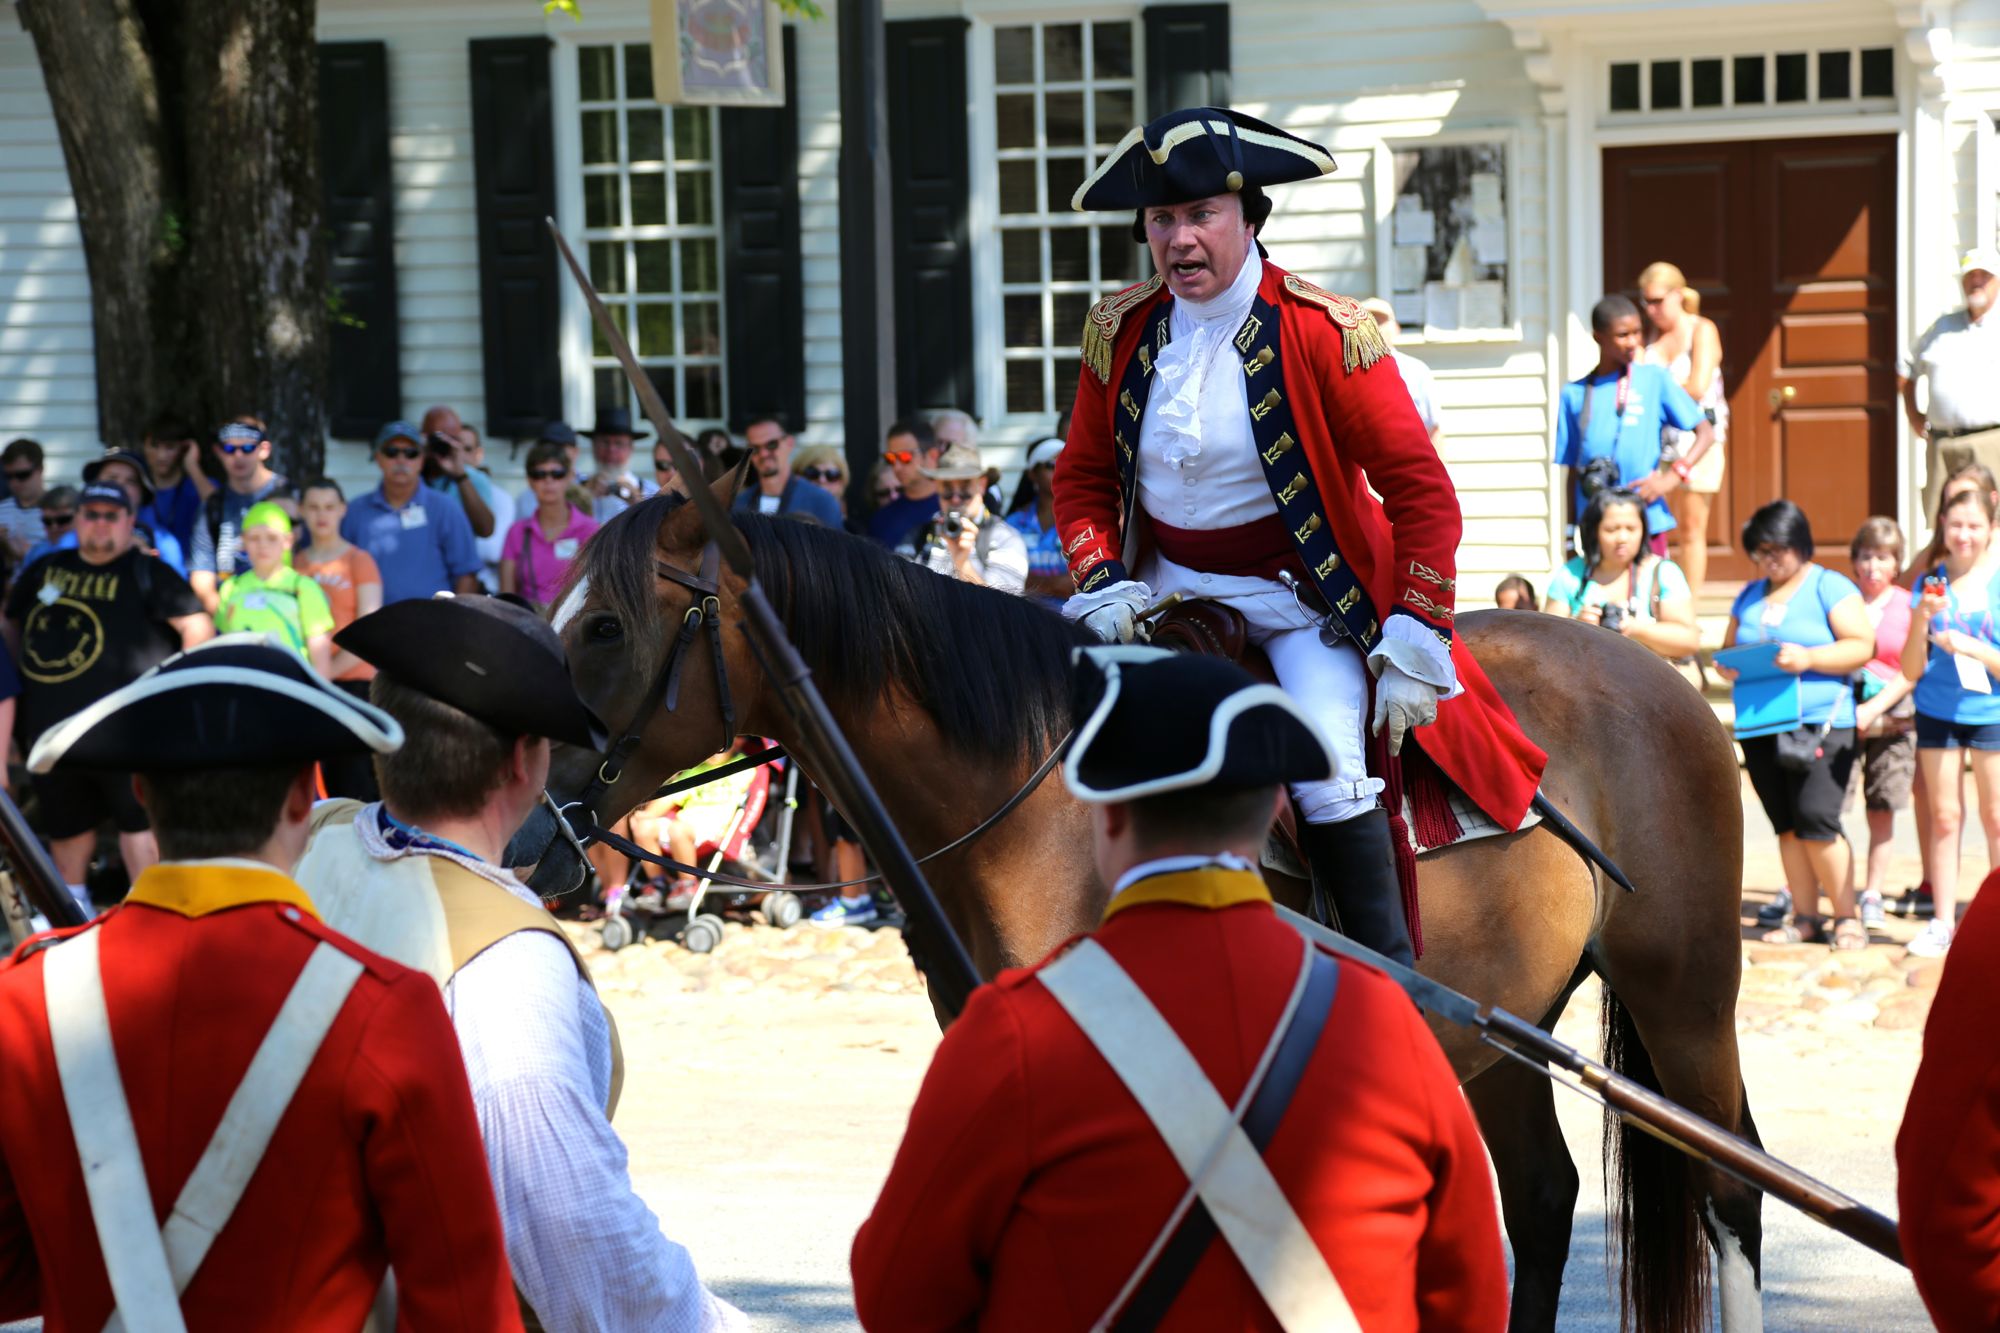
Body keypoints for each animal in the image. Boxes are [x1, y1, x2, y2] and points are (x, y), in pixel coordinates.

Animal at [512, 490, 1768, 1328]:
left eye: (607, 625)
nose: (529, 834)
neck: (1033, 782)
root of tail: (1668, 681)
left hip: (1683, 997)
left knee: (1730, 1191)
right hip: (1499, 1027)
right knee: (1544, 1202)